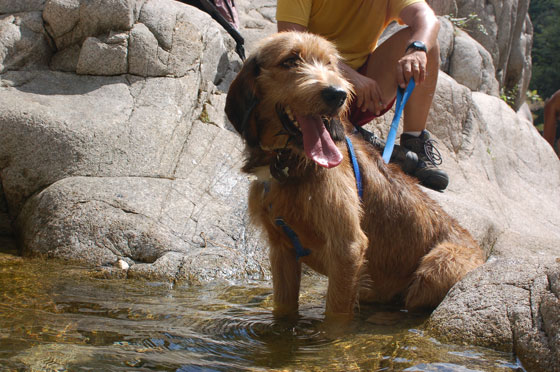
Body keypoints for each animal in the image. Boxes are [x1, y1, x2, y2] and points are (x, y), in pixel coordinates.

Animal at [225, 30, 484, 318]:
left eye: (330, 64)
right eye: (290, 60)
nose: (337, 94)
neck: (289, 164)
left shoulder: (347, 247)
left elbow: (335, 319)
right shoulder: (282, 251)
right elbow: (284, 310)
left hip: (436, 269)